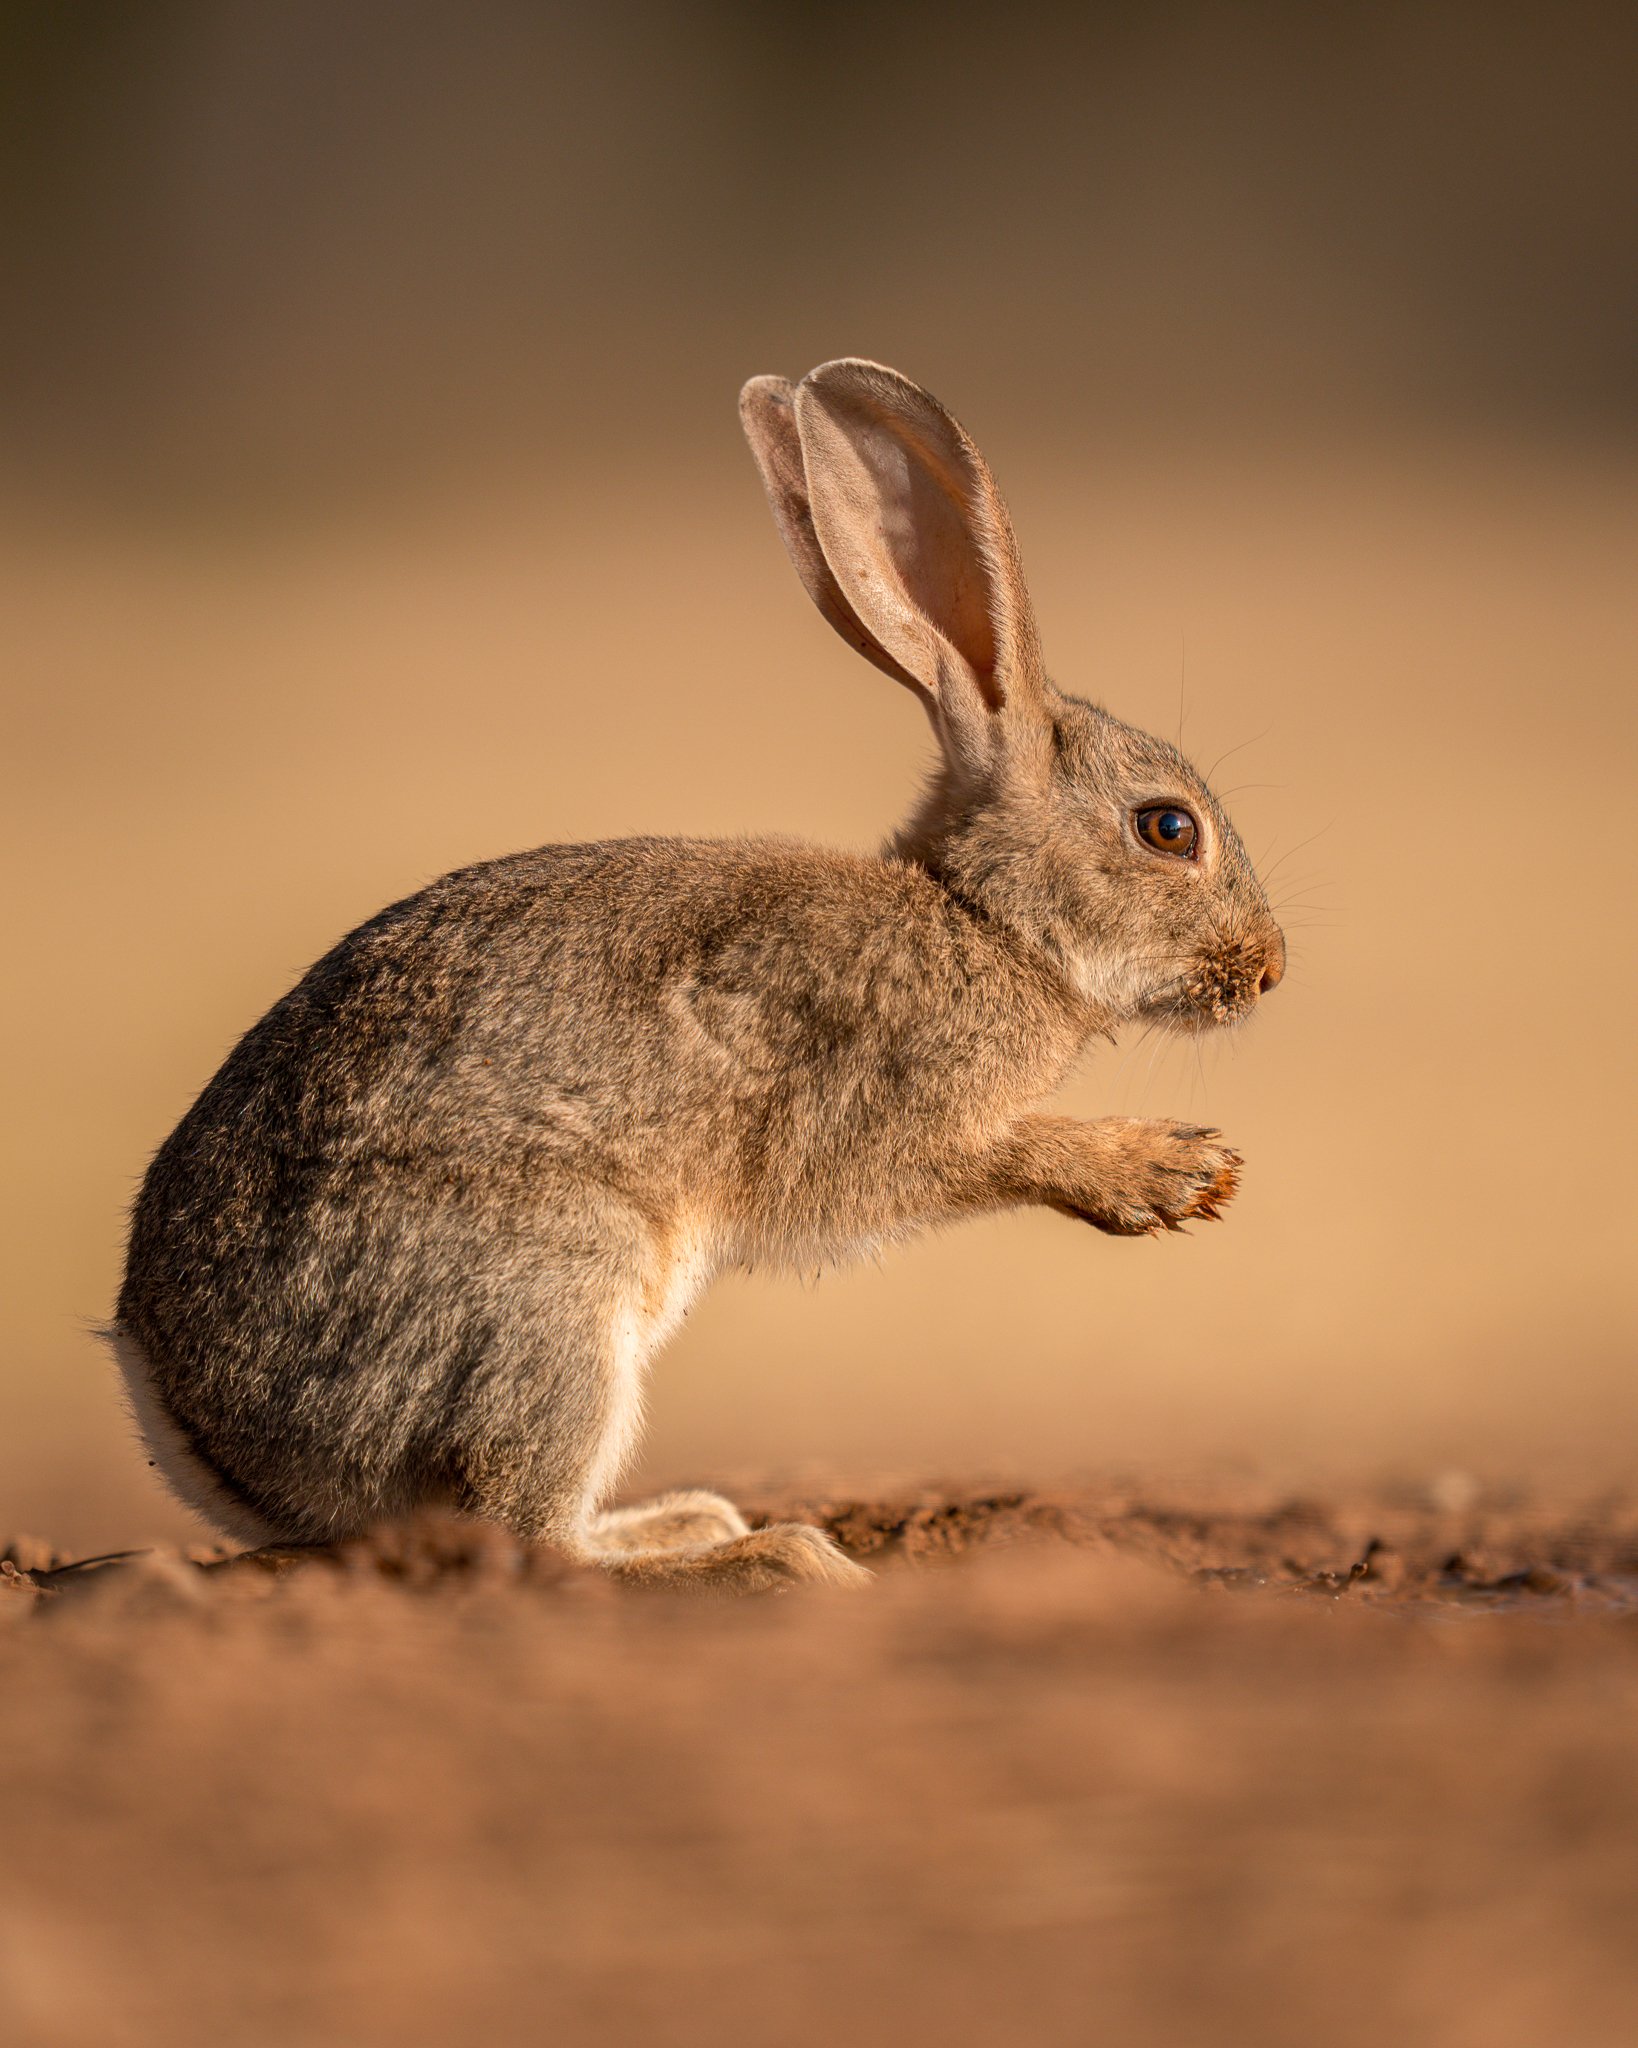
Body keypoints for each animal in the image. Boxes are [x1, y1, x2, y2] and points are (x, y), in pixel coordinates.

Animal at [112, 358, 1285, 1591]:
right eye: (1168, 829)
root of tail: (218, 1442)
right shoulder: (882, 1110)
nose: (1270, 968)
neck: (984, 919)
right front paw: (1171, 1171)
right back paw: (777, 1559)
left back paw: (698, 1522)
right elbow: (983, 1154)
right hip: (553, 1298)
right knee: (533, 1544)